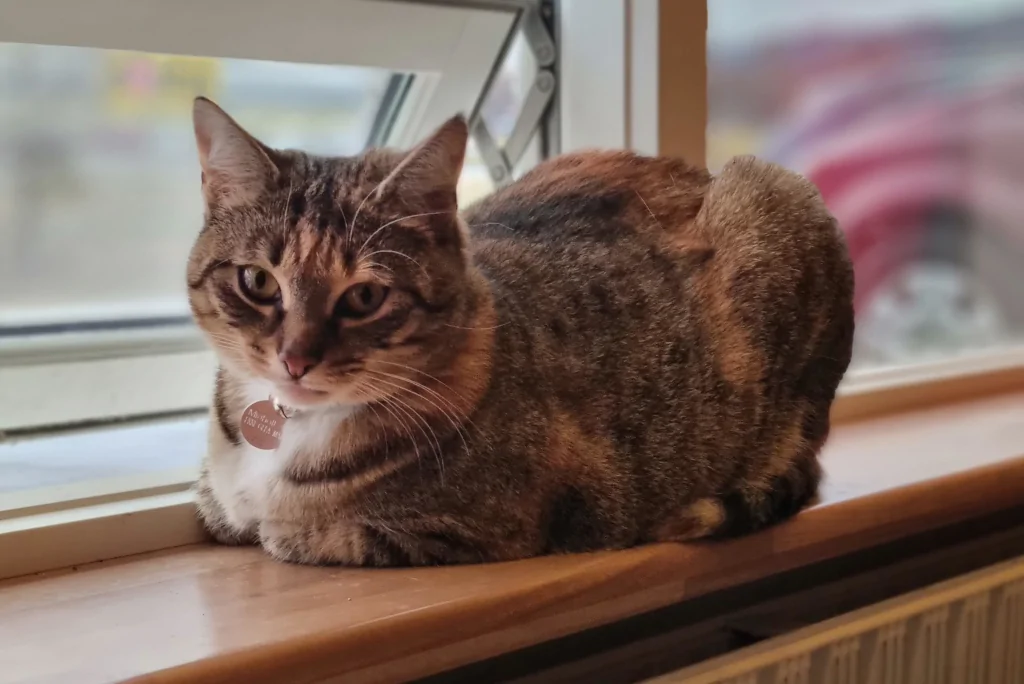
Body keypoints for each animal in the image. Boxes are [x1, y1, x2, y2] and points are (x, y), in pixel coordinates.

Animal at [188, 97, 851, 565]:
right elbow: (220, 511)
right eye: (257, 281)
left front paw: (285, 529)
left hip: (777, 199)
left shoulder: (501, 523)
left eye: (366, 297)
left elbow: (307, 534)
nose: (295, 359)